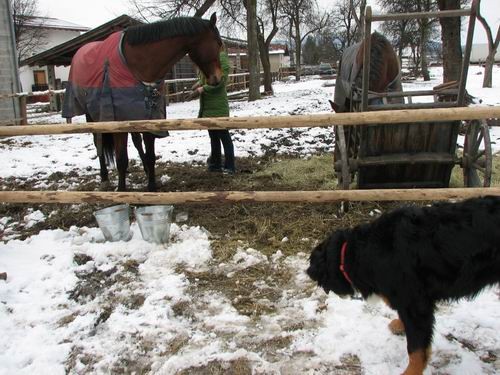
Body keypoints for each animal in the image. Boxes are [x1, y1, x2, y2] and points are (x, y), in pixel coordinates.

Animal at [61, 13, 222, 192]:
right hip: (92, 116)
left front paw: (151, 187)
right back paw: (104, 178)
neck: (138, 65)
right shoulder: (119, 124)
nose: (217, 79)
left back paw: (143, 169)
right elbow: (121, 159)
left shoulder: (149, 118)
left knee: (136, 143)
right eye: (218, 43)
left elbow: (150, 155)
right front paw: (122, 191)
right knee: (98, 143)